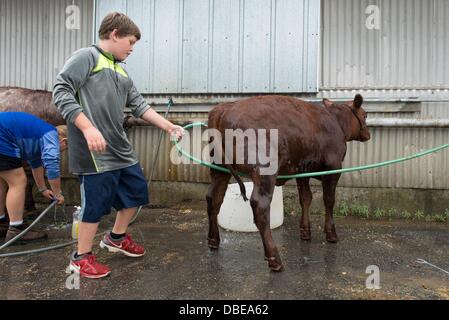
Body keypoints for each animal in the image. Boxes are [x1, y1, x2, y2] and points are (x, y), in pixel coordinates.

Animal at [205, 94, 370, 272]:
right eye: (365, 115)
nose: (368, 134)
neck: (336, 121)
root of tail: (224, 108)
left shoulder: (303, 170)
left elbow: (305, 198)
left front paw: (305, 231)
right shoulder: (333, 168)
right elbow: (329, 200)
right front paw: (331, 234)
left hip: (219, 169)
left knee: (213, 198)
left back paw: (213, 240)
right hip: (265, 171)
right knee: (260, 207)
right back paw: (274, 259)